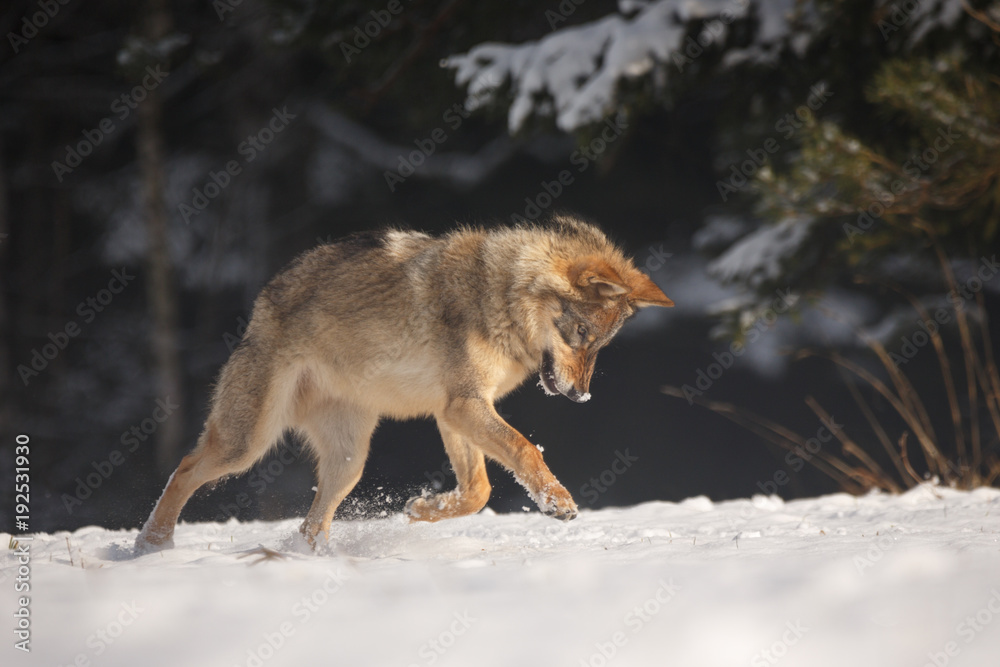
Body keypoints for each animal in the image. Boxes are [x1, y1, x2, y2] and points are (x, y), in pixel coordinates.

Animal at [135, 215, 673, 552]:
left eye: (599, 347)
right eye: (580, 334)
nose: (581, 395)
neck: (498, 294)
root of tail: (263, 300)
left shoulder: (454, 410)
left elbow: (477, 491)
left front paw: (421, 511)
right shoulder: (463, 406)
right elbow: (524, 450)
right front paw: (556, 502)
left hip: (348, 463)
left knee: (312, 522)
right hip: (247, 444)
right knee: (184, 468)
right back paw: (153, 546)